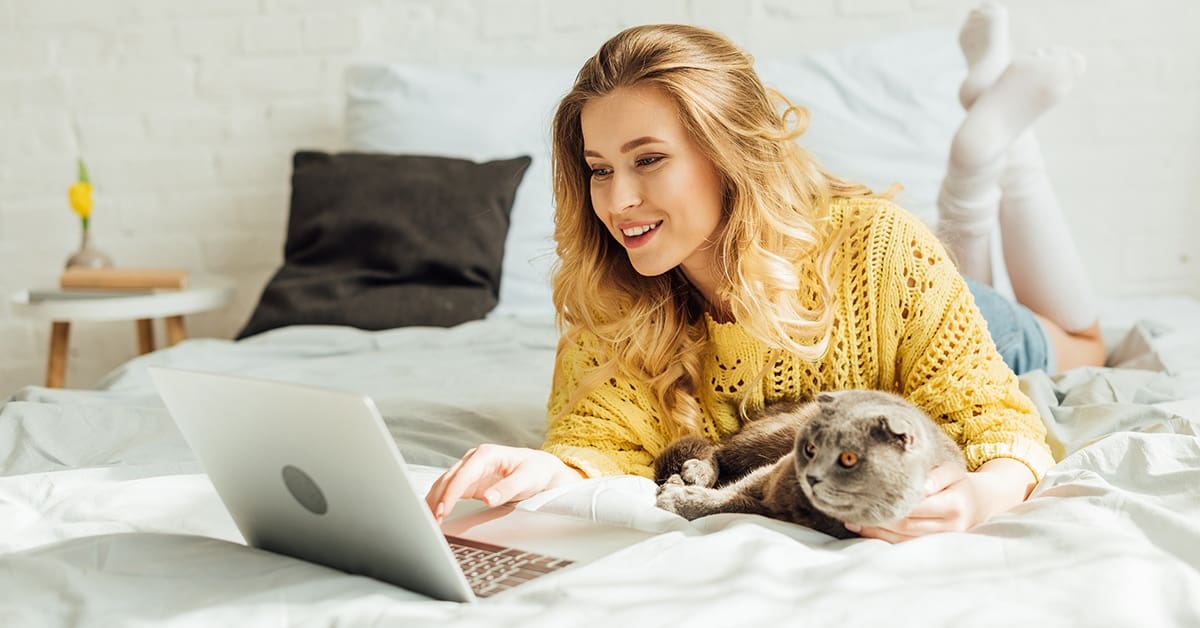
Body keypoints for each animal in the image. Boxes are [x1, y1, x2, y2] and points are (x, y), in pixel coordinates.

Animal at [652, 389, 960, 540]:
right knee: (718, 450)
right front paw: (681, 495)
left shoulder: (770, 505)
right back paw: (694, 473)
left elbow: (732, 503)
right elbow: (730, 495)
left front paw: (679, 499)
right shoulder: (770, 473)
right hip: (769, 437)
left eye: (849, 457)